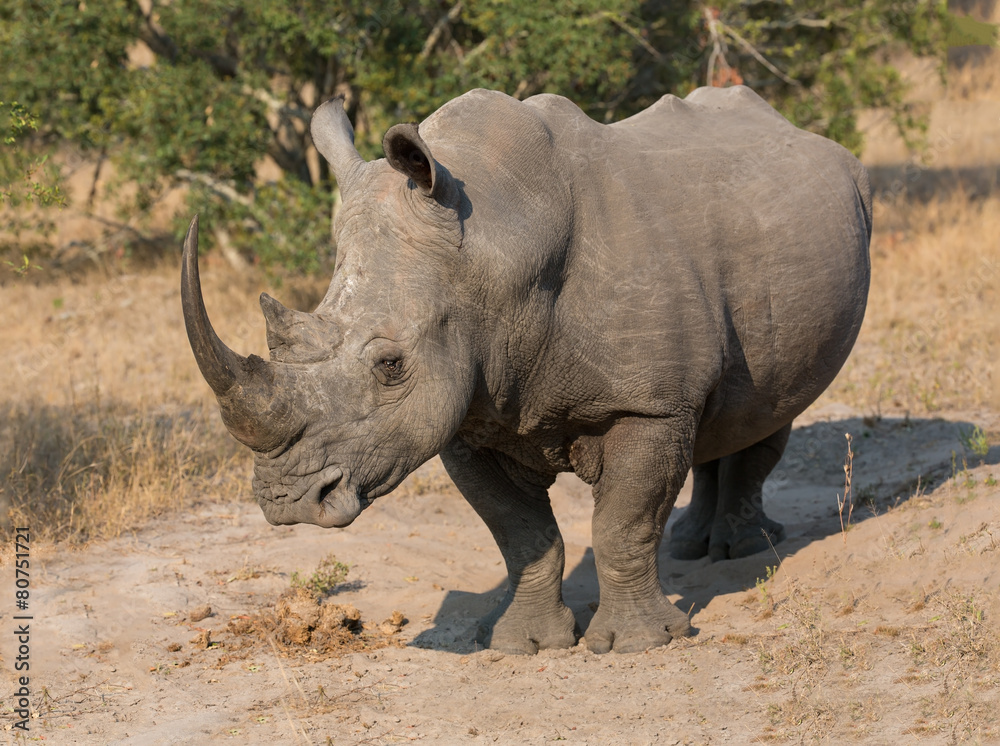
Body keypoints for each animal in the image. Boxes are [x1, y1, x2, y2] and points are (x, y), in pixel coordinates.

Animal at [181, 85, 871, 655]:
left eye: (391, 365)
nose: (290, 503)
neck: (491, 252)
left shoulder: (649, 402)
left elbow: (622, 524)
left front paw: (637, 644)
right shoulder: (465, 417)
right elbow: (522, 535)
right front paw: (525, 645)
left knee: (771, 405)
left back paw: (742, 550)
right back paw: (694, 546)